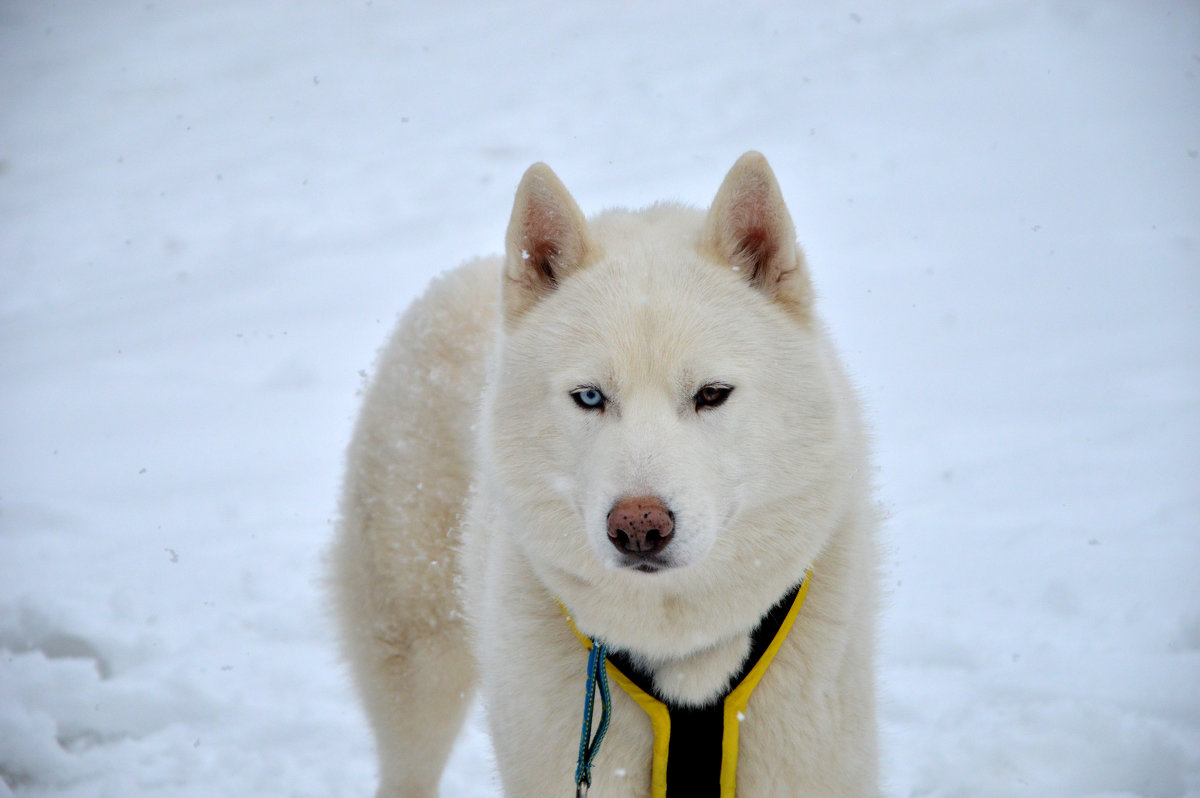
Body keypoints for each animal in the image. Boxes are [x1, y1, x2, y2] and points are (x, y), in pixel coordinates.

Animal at [333, 152, 878, 792]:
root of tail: (461, 275)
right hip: (416, 659)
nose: (639, 526)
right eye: (590, 397)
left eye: (712, 394)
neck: (685, 666)